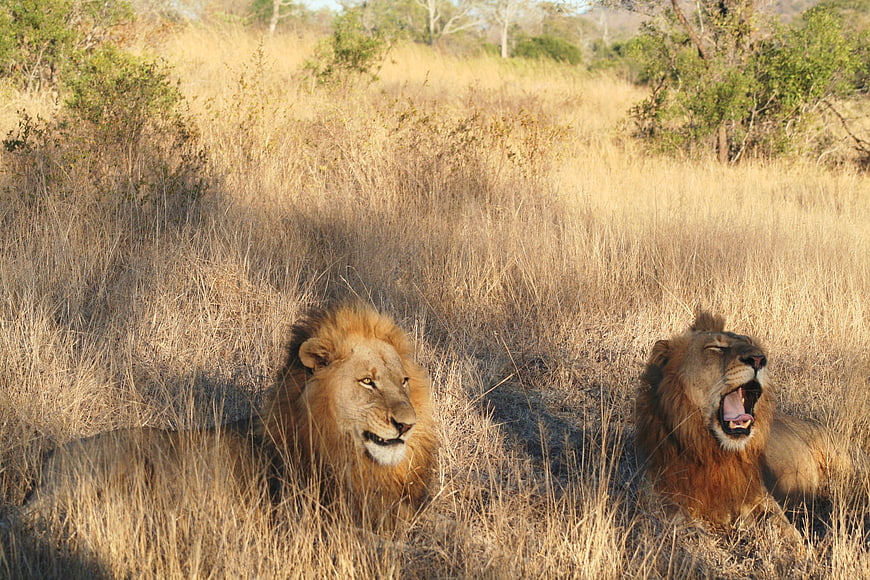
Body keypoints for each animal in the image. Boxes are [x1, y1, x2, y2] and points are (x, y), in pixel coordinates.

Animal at [635, 311, 845, 533]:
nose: (759, 359)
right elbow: (690, 530)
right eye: (716, 348)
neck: (714, 452)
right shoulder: (660, 497)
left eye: (752, 345)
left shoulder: (761, 499)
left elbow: (785, 532)